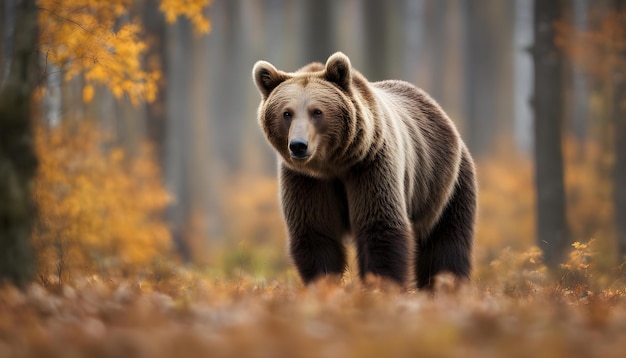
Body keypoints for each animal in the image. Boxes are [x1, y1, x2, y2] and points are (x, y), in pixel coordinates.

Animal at [251, 52, 476, 288]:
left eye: (317, 112)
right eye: (287, 113)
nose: (298, 145)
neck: (333, 165)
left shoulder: (371, 164)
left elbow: (380, 225)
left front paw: (380, 284)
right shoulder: (306, 180)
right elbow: (316, 232)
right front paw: (325, 284)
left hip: (444, 183)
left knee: (445, 242)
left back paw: (446, 284)